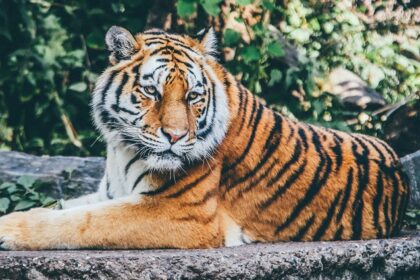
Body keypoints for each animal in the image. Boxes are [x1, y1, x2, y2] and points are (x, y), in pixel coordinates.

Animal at [0, 26, 408, 249]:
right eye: (152, 92)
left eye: (194, 95)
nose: (176, 136)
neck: (123, 149)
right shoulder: (110, 193)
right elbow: (65, 208)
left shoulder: (180, 211)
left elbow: (79, 222)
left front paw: (9, 229)